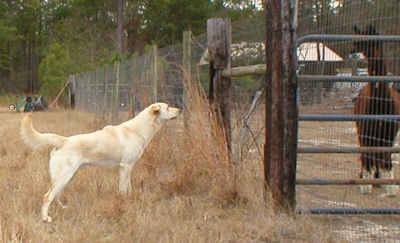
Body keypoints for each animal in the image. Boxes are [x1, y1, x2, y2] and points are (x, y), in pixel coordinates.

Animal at [20, 102, 180, 222]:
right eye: (167, 107)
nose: (180, 109)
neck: (137, 130)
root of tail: (64, 140)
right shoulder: (125, 167)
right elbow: (123, 191)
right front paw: (122, 204)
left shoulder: (128, 168)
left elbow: (128, 189)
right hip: (65, 175)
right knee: (47, 196)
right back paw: (45, 218)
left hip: (68, 176)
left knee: (56, 194)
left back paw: (63, 208)